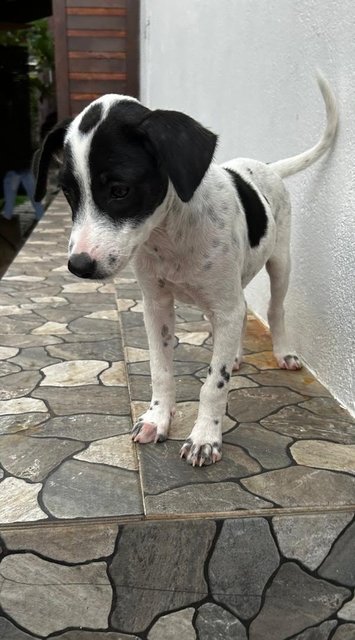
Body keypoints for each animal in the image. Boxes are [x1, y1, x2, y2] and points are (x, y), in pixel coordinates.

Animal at [34, 74, 340, 464]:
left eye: (120, 190)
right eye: (69, 193)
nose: (79, 266)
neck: (170, 234)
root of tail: (266, 167)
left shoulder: (224, 305)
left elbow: (214, 384)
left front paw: (205, 437)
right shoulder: (157, 306)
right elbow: (161, 369)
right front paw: (157, 419)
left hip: (280, 263)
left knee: (274, 308)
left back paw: (282, 352)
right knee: (242, 315)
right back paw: (235, 355)